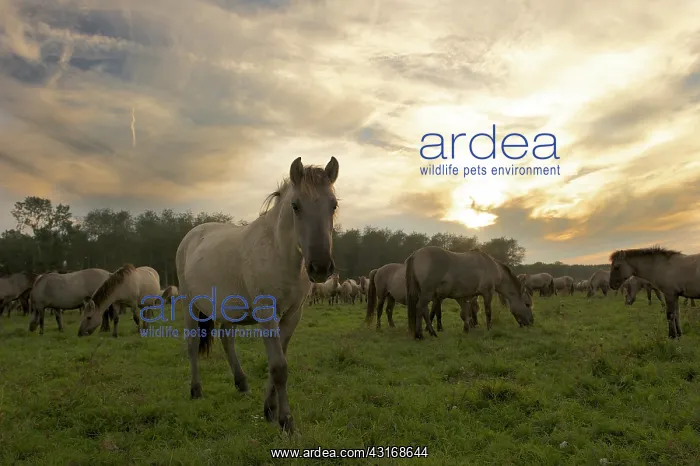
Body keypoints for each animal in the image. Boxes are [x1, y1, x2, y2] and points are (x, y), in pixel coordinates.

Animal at [175, 156, 338, 433]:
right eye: (295, 206)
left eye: (334, 205)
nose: (320, 267)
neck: (278, 253)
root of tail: (191, 236)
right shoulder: (266, 313)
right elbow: (279, 366)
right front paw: (286, 422)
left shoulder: (293, 314)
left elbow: (279, 361)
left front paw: (270, 410)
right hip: (190, 305)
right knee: (193, 344)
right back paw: (196, 390)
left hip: (226, 311)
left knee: (227, 340)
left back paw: (241, 383)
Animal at [405, 246, 534, 340]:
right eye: (527, 304)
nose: (531, 322)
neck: (493, 267)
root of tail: (415, 254)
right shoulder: (487, 293)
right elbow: (487, 312)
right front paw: (489, 328)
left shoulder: (467, 296)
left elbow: (466, 313)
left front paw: (466, 329)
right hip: (427, 293)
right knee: (419, 309)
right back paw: (420, 335)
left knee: (424, 312)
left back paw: (432, 333)